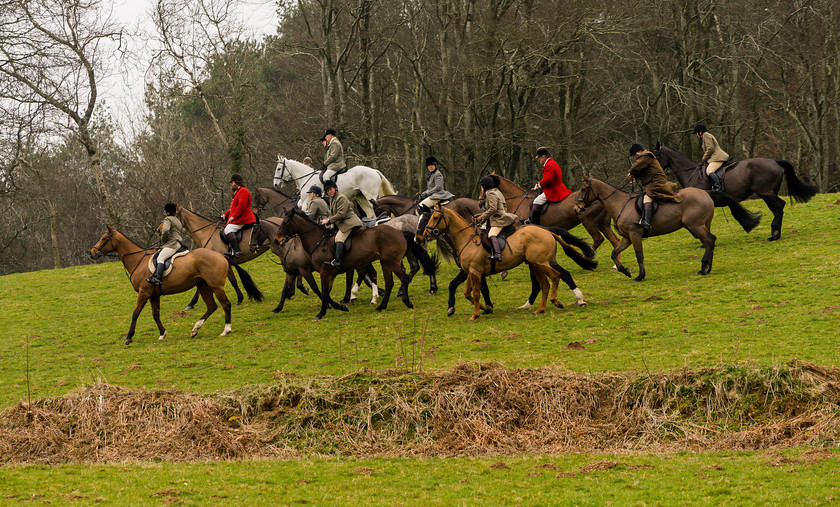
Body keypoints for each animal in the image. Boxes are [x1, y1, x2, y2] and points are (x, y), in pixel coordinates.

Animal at [89, 226, 233, 346]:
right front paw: (162, 333)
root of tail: (220, 255)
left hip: (216, 286)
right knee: (211, 306)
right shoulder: (154, 295)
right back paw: (195, 329)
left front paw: (129, 338)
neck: (138, 260)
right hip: (202, 286)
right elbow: (155, 314)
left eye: (103, 238)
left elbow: (135, 313)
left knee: (225, 304)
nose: (91, 253)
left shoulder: (144, 293)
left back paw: (226, 330)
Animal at [276, 208, 436, 320]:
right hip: (385, 262)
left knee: (404, 279)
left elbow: (323, 292)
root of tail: (400, 231)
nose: (277, 240)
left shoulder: (324, 271)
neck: (319, 241)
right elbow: (326, 292)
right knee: (389, 283)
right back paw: (381, 306)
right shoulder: (330, 273)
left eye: (285, 223)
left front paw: (322, 313)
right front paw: (340, 306)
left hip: (393, 262)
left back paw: (406, 301)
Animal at [420, 204, 596, 320]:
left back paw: (557, 301)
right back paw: (543, 308)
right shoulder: (469, 272)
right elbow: (466, 292)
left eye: (435, 217)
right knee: (551, 281)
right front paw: (484, 308)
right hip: (539, 264)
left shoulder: (475, 272)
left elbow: (476, 293)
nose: (425, 235)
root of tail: (546, 231)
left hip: (540, 263)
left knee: (555, 277)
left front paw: (476, 314)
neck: (467, 239)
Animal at [572, 177, 760, 282]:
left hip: (696, 226)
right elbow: (613, 253)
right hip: (701, 225)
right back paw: (707, 268)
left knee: (709, 240)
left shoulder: (635, 235)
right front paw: (625, 271)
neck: (620, 204)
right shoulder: (627, 238)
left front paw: (640, 276)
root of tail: (705, 193)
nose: (576, 209)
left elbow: (639, 255)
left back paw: (703, 268)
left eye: (583, 189)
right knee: (710, 242)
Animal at [652, 143, 816, 242]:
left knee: (779, 206)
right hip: (770, 192)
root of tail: (775, 161)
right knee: (777, 208)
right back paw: (776, 233)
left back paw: (774, 234)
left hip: (765, 192)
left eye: (656, 156)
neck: (691, 173)